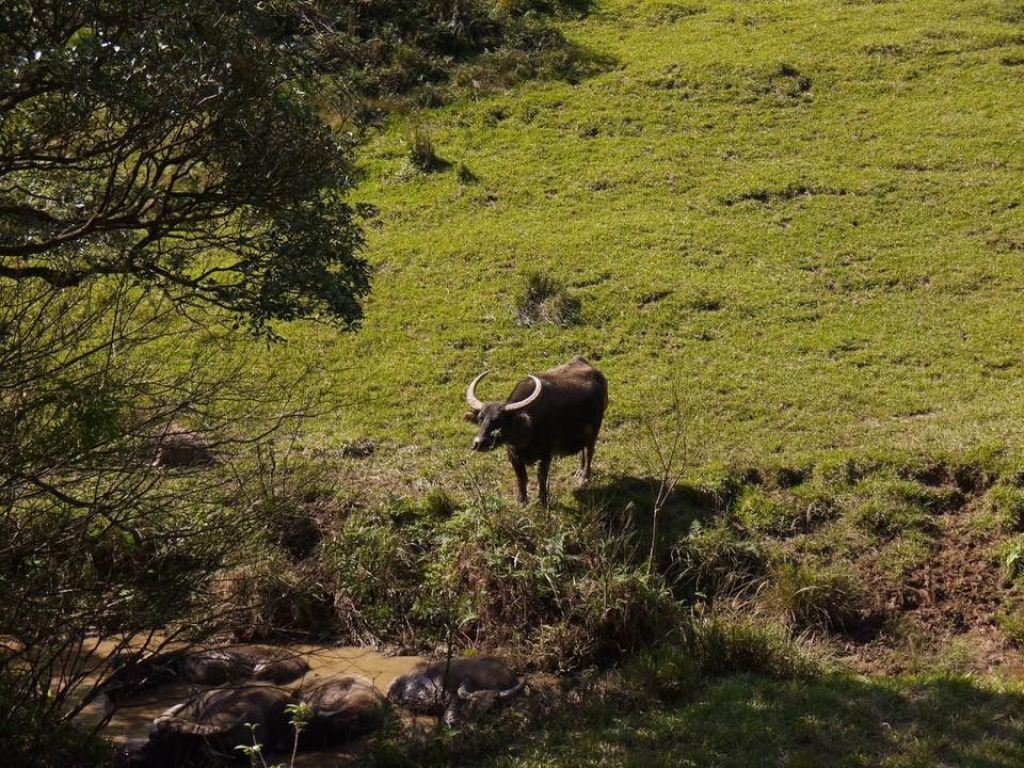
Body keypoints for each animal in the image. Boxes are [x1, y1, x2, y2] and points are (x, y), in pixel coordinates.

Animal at [466, 358, 606, 507]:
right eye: (480, 418)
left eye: (499, 420)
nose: (478, 443)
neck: (526, 433)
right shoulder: (512, 454)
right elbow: (521, 477)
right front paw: (522, 501)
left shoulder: (546, 454)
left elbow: (541, 476)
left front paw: (542, 500)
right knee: (584, 451)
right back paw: (579, 473)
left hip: (594, 430)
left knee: (589, 452)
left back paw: (584, 478)